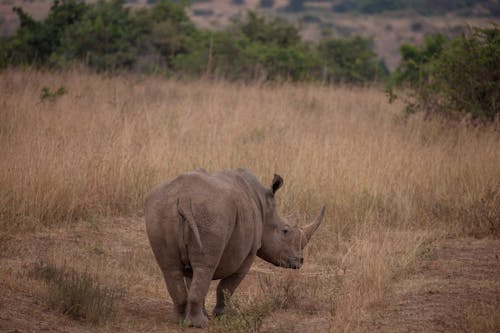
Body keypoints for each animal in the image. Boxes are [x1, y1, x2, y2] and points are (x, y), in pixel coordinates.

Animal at [145, 167, 324, 326]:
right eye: (285, 231)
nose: (300, 261)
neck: (264, 206)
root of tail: (183, 197)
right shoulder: (249, 253)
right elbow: (226, 287)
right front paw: (223, 317)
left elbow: (193, 280)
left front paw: (206, 314)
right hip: (212, 214)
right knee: (204, 267)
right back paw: (199, 324)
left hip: (161, 210)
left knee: (171, 268)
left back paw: (179, 321)